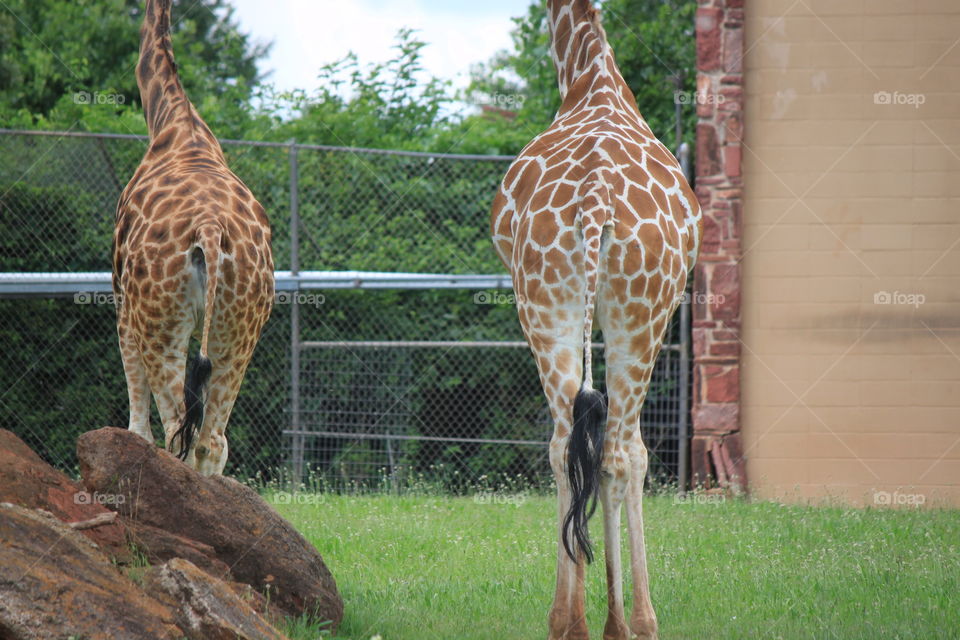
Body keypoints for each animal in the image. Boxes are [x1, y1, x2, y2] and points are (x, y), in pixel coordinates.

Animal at [115, 0, 278, 476]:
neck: (173, 123)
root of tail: (208, 228)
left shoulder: (121, 302)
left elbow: (138, 424)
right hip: (238, 331)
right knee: (212, 440)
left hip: (160, 323)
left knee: (176, 432)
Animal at [492, 2, 700, 636]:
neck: (590, 75)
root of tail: (596, 199)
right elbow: (630, 454)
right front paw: (636, 619)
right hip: (641, 313)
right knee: (618, 451)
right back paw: (629, 623)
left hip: (544, 303)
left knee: (567, 445)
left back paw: (571, 622)